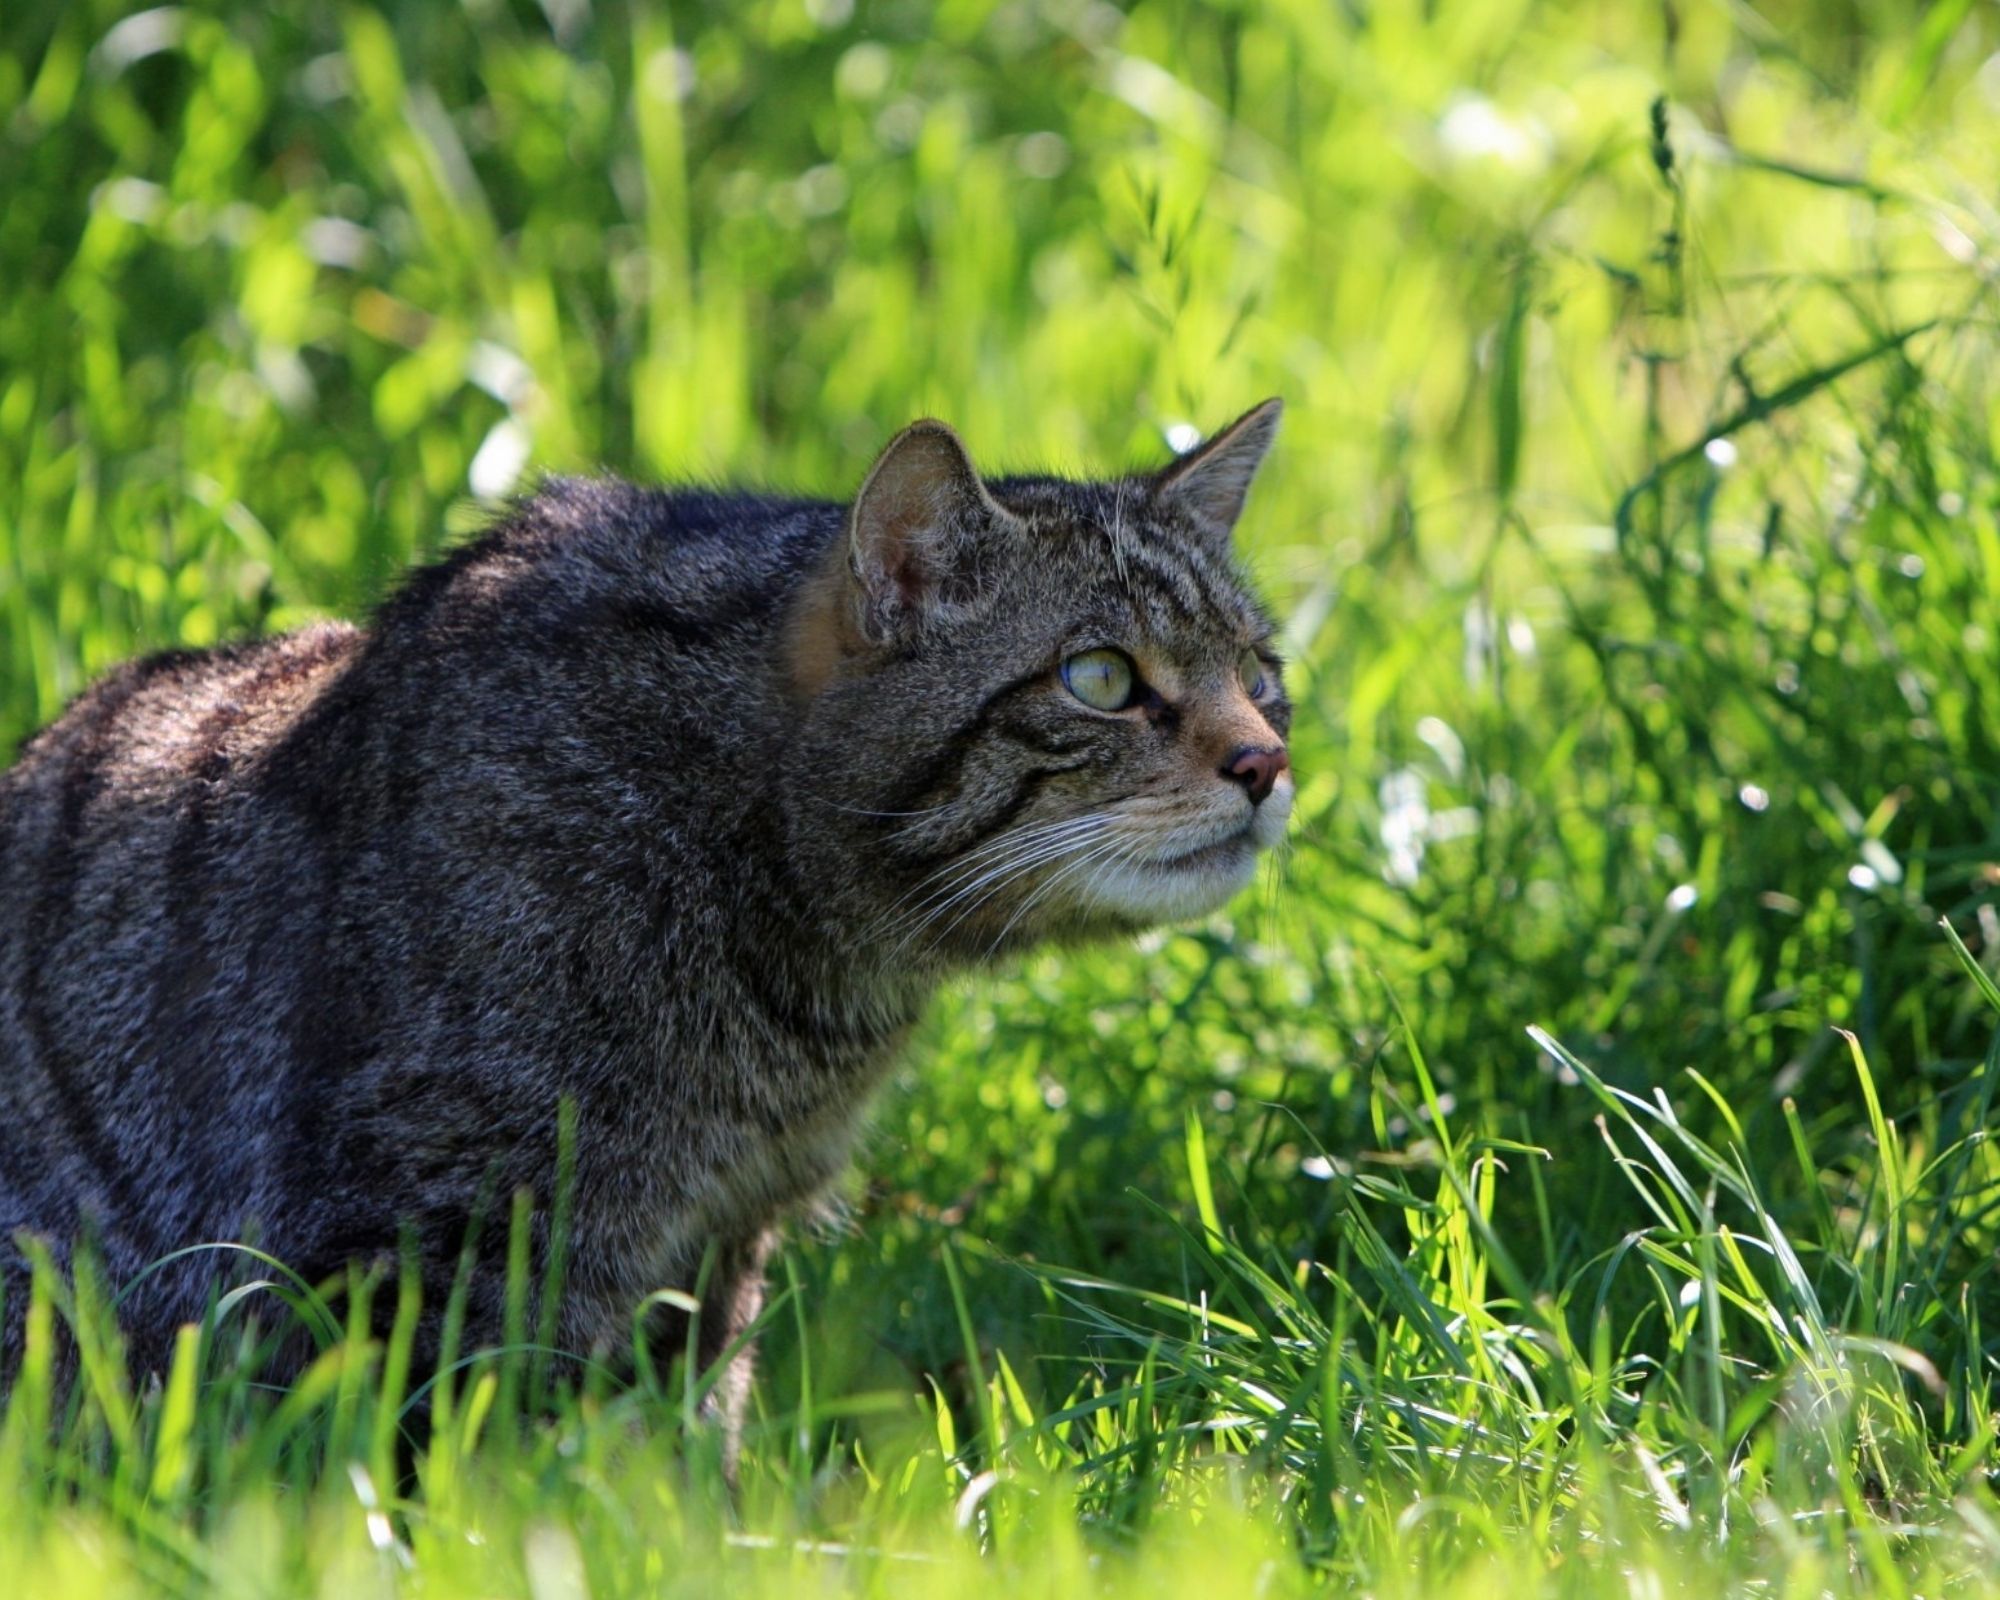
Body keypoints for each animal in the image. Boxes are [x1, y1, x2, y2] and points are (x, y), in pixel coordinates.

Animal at [0, 400, 1296, 1448]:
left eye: (1260, 670)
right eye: (1100, 678)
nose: (1267, 762)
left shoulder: (720, 1239)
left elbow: (680, 1454)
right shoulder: (434, 1240)